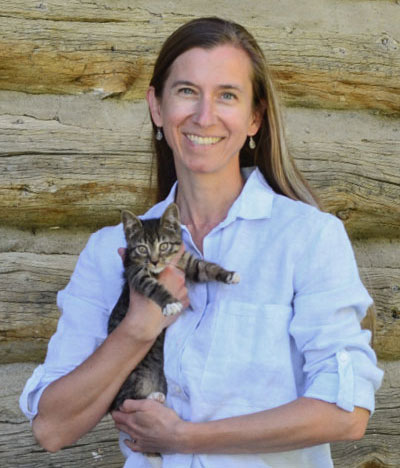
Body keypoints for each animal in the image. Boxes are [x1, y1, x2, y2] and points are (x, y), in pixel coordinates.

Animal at [106, 202, 239, 410]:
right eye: (142, 248)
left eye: (164, 245)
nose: (154, 261)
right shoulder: (136, 272)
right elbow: (153, 286)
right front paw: (170, 303)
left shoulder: (187, 262)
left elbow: (206, 268)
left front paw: (228, 275)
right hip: (132, 374)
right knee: (123, 402)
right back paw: (152, 397)